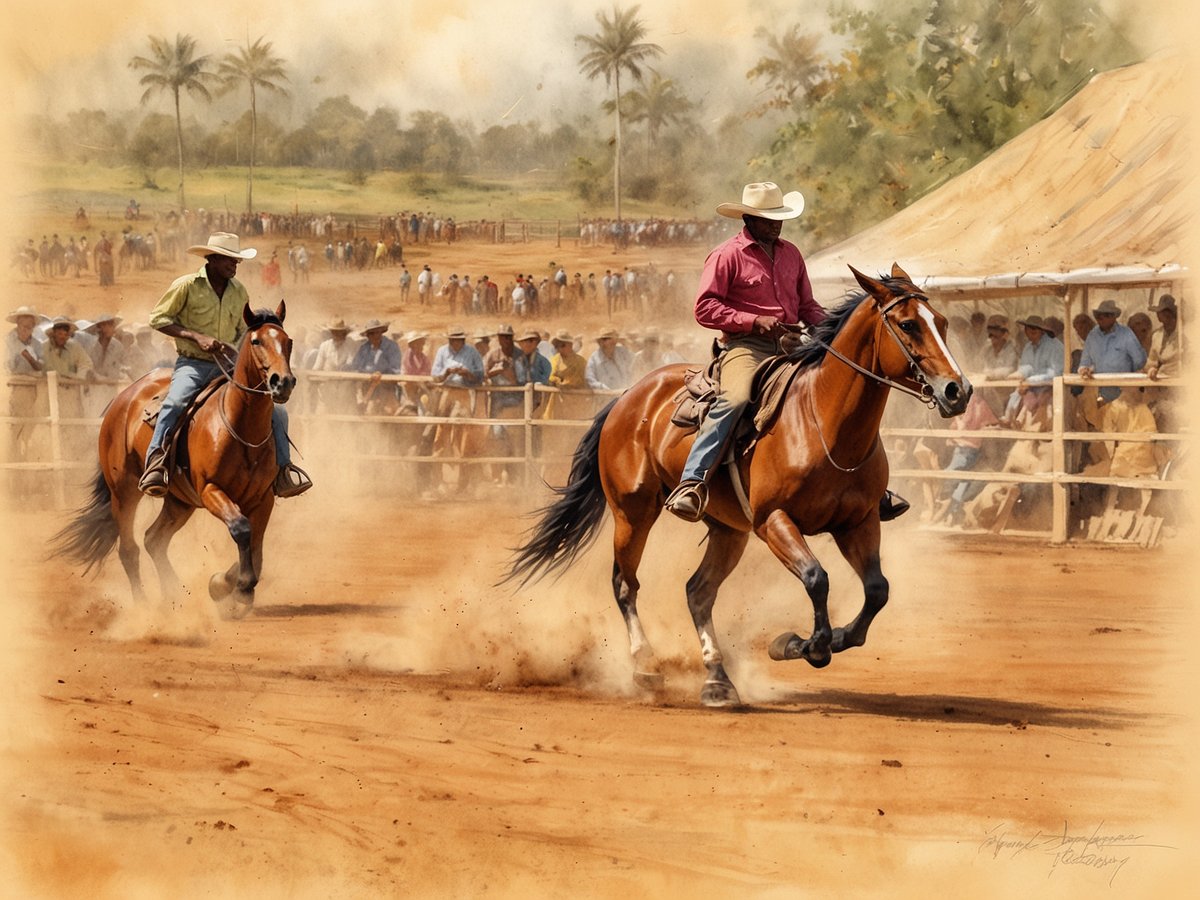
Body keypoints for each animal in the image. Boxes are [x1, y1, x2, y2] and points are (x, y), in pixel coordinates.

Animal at [54, 303, 300, 619]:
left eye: (288, 341)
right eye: (257, 341)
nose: (283, 383)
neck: (240, 427)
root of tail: (123, 398)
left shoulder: (263, 498)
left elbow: (256, 547)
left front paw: (227, 586)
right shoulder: (210, 490)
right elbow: (242, 529)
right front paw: (234, 587)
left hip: (179, 501)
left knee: (154, 540)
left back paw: (174, 594)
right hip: (124, 492)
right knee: (129, 549)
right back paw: (143, 606)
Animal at [508, 267, 974, 710]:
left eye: (943, 321)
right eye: (909, 324)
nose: (959, 390)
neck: (823, 422)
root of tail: (627, 397)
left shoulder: (858, 523)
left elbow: (877, 591)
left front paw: (830, 638)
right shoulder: (773, 521)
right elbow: (816, 578)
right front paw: (801, 645)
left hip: (728, 531)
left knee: (698, 592)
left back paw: (718, 680)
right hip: (633, 513)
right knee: (626, 584)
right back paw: (645, 666)